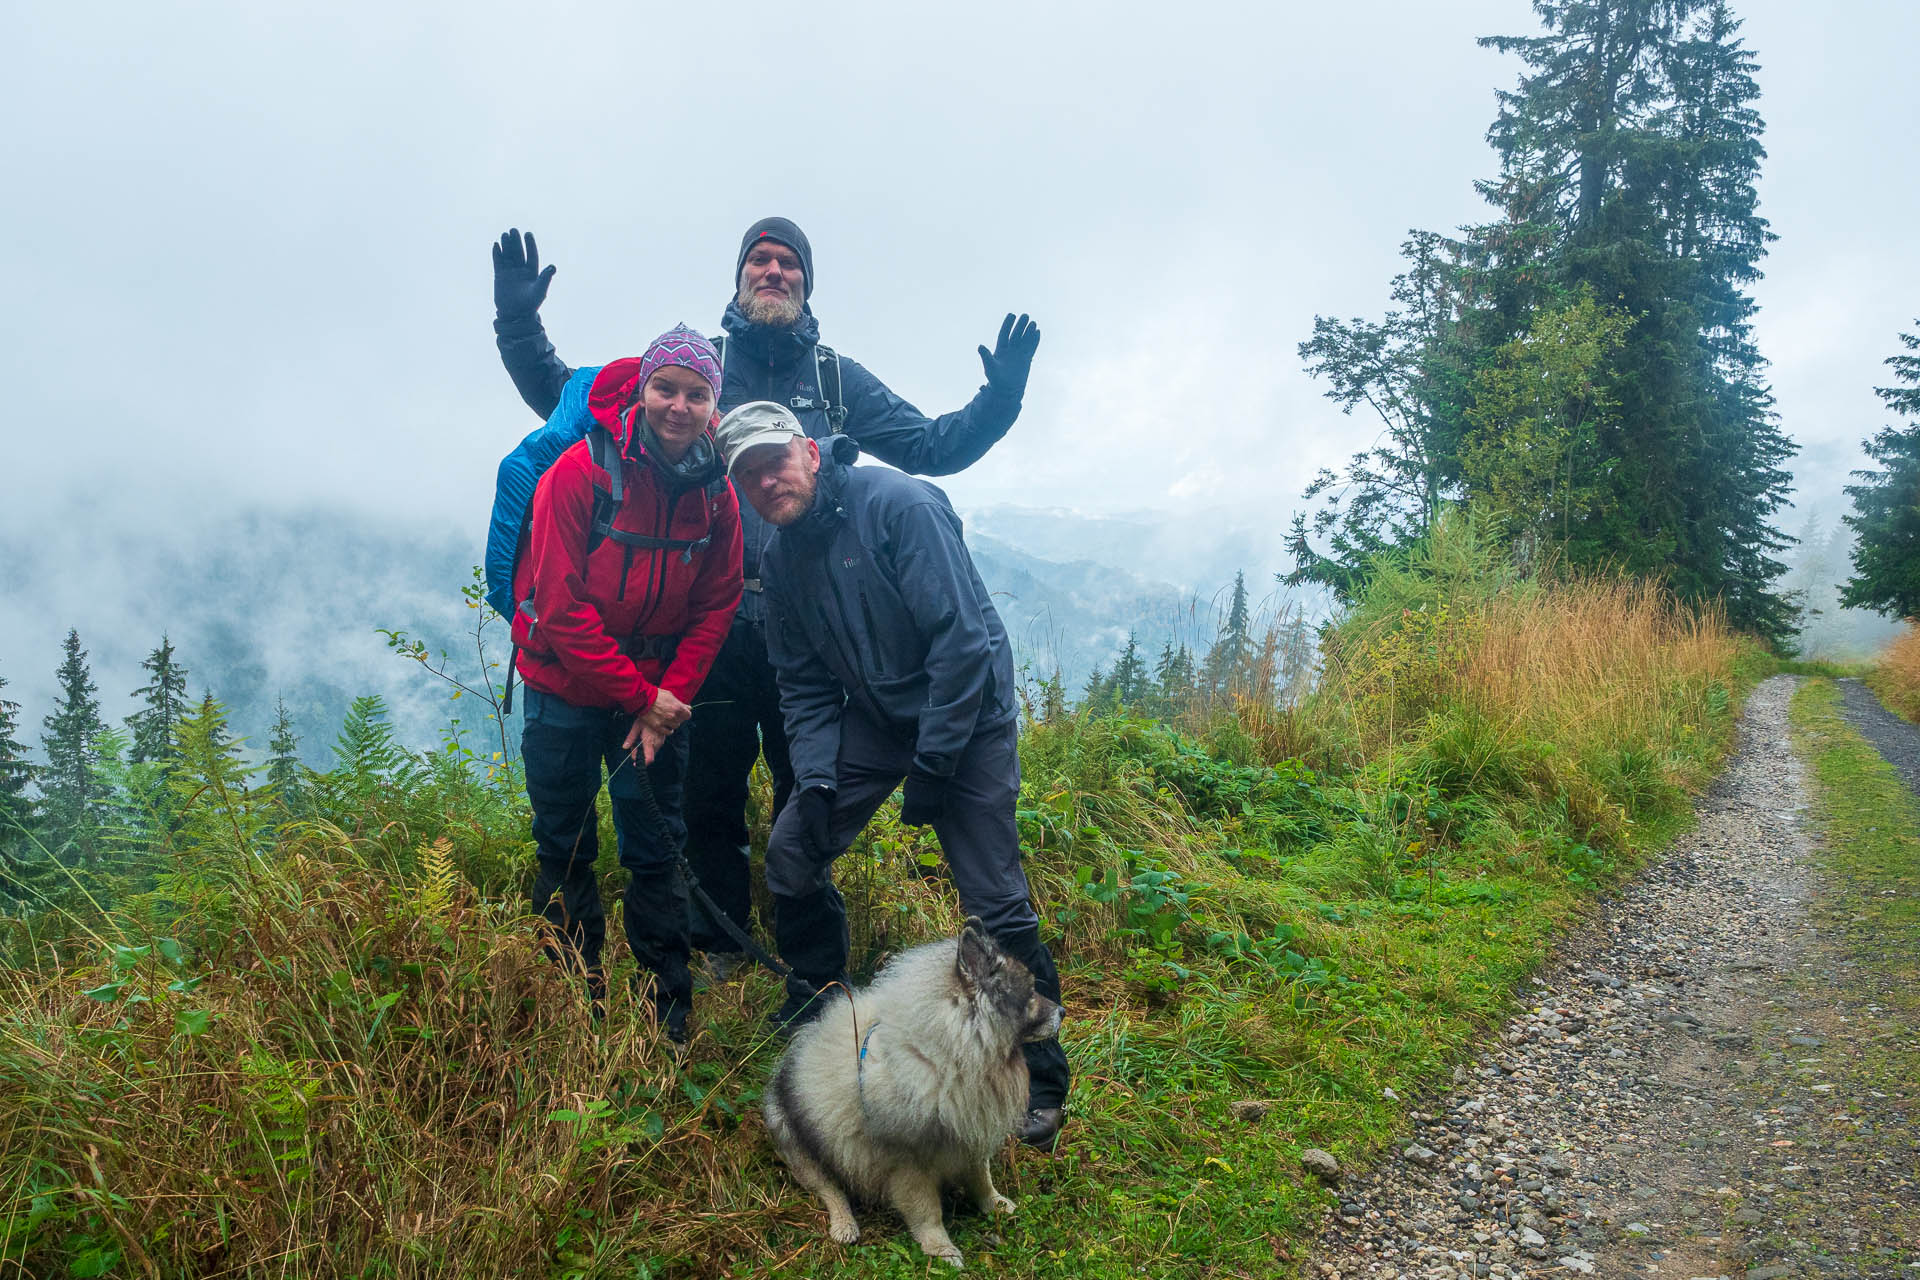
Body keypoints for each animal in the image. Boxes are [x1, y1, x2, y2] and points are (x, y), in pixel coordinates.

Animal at [760, 917, 1067, 1266]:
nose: (1062, 1012)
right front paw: (940, 1249)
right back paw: (845, 1225)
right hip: (801, 1148)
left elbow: (982, 1179)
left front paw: (995, 1204)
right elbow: (927, 1212)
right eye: (1029, 994)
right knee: (829, 1190)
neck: (947, 1057)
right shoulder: (909, 1166)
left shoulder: (971, 1136)